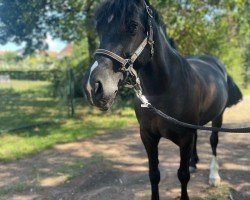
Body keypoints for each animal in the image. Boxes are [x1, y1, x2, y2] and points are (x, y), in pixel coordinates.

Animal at [83, 0, 242, 199]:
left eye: (133, 25)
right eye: (99, 29)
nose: (93, 87)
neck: (163, 91)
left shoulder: (185, 137)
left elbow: (183, 175)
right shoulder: (148, 136)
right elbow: (154, 174)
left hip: (218, 117)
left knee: (213, 143)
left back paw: (214, 176)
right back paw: (194, 163)